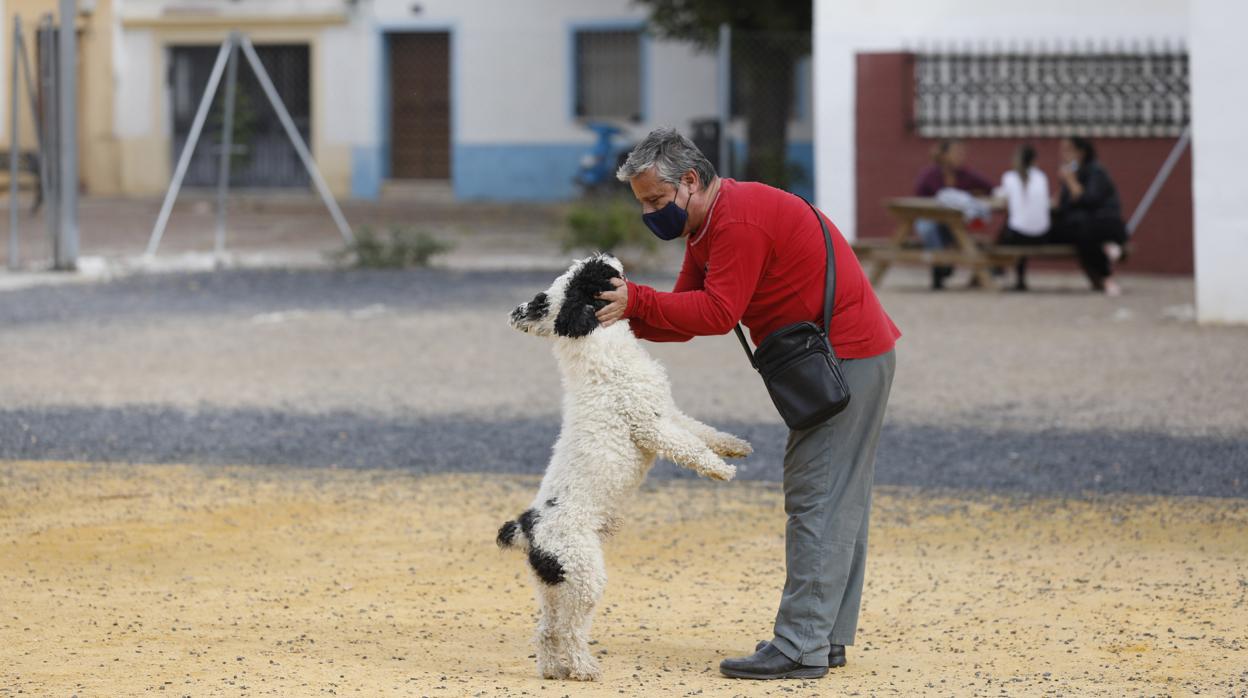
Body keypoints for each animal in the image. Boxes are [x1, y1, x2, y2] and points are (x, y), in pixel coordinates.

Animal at [496, 253, 748, 679]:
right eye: (584, 278)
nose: (603, 256)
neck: (599, 349)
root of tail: (529, 529)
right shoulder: (650, 426)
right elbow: (688, 448)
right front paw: (720, 470)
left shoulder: (668, 412)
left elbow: (702, 431)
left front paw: (735, 447)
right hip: (584, 578)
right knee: (569, 630)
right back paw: (584, 669)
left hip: (553, 586)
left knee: (546, 629)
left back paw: (553, 670)